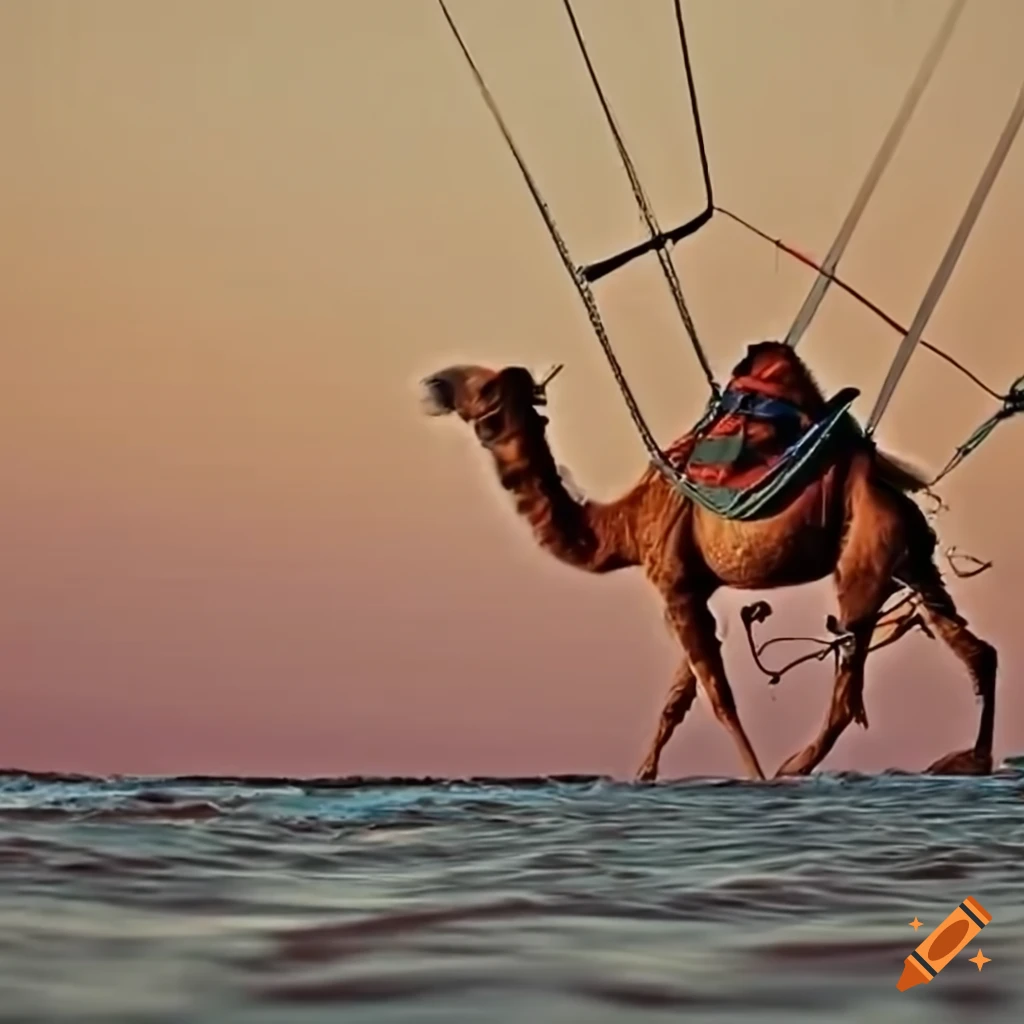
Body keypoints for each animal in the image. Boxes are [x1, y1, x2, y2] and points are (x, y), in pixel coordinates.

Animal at [418, 341, 997, 780]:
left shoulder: (672, 583)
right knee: (975, 649)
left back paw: (795, 765)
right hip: (913, 556)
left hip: (865, 555)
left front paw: (755, 777)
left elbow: (718, 698)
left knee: (849, 683)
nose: (433, 383)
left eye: (483, 388)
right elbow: (678, 699)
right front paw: (643, 776)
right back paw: (971, 758)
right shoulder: (694, 587)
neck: (623, 527)